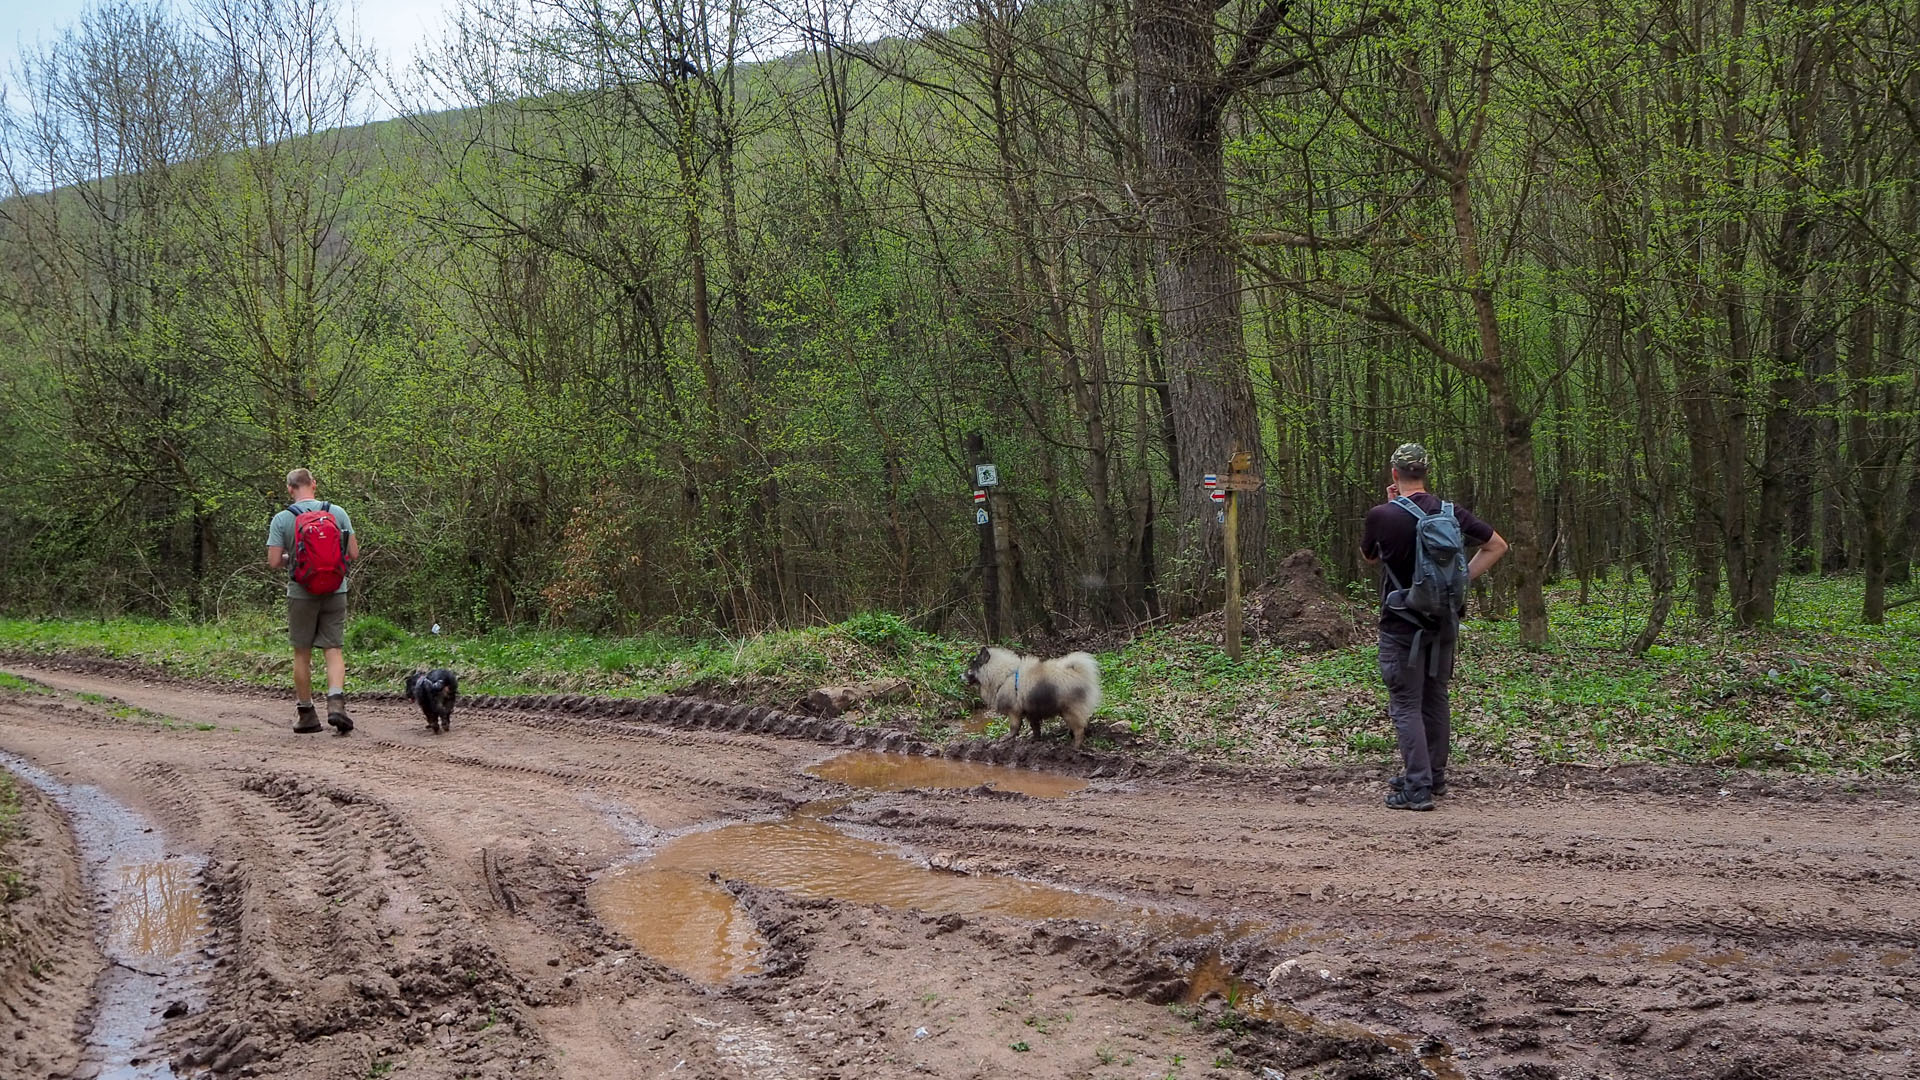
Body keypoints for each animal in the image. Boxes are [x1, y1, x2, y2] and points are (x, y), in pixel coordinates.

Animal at [967, 641, 1105, 745]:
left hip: (1070, 710)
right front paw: (1035, 740)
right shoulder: (1031, 712)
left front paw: (1006, 737)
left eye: (970, 669)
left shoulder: (1014, 711)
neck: (1005, 675)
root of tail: (1079, 673)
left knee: (1079, 730)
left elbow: (1014, 727)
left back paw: (1075, 746)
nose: (961, 676)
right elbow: (1035, 728)